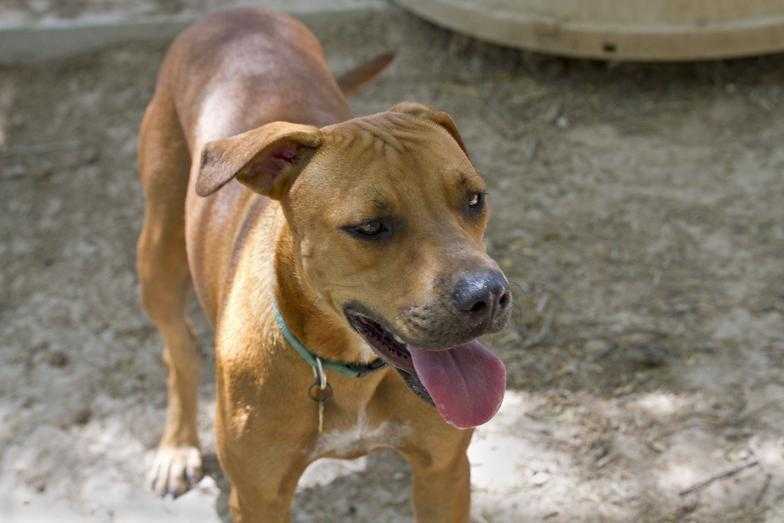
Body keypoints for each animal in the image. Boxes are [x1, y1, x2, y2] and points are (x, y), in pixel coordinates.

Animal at [137, 7, 512, 520]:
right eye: (370, 227)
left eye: (474, 200)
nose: (488, 296)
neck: (346, 368)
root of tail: (234, 13)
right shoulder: (258, 497)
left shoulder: (444, 472)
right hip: (158, 253)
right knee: (178, 347)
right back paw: (177, 447)